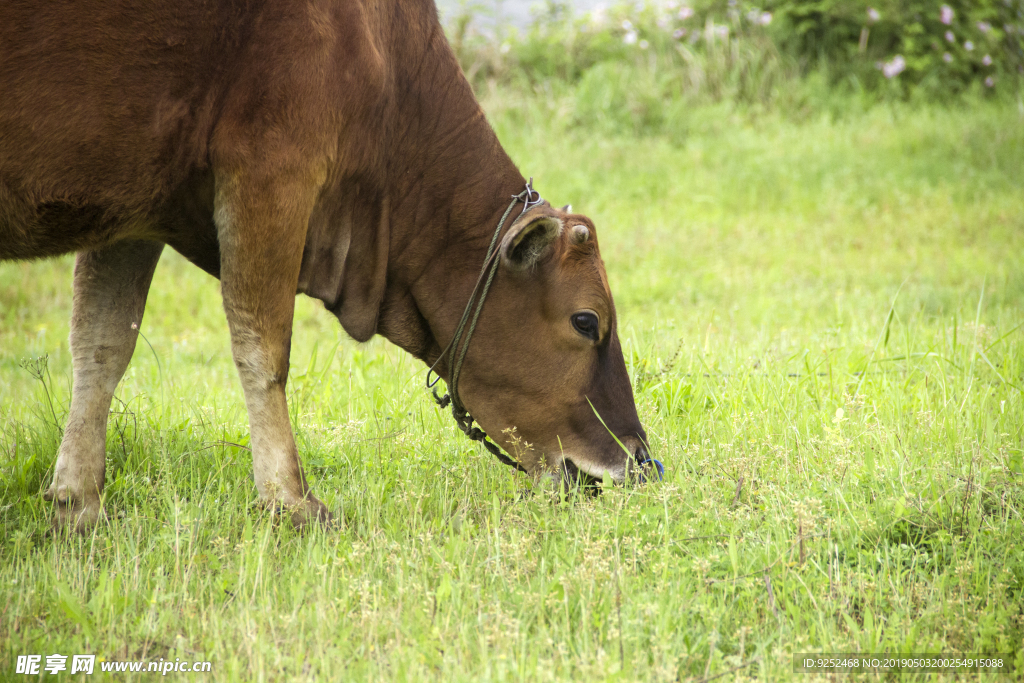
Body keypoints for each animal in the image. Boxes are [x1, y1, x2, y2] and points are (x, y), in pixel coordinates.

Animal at [0, 0, 655, 532]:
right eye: (587, 321)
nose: (640, 463)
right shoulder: (271, 170)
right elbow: (263, 348)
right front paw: (290, 500)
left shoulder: (134, 210)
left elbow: (101, 345)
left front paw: (77, 504)